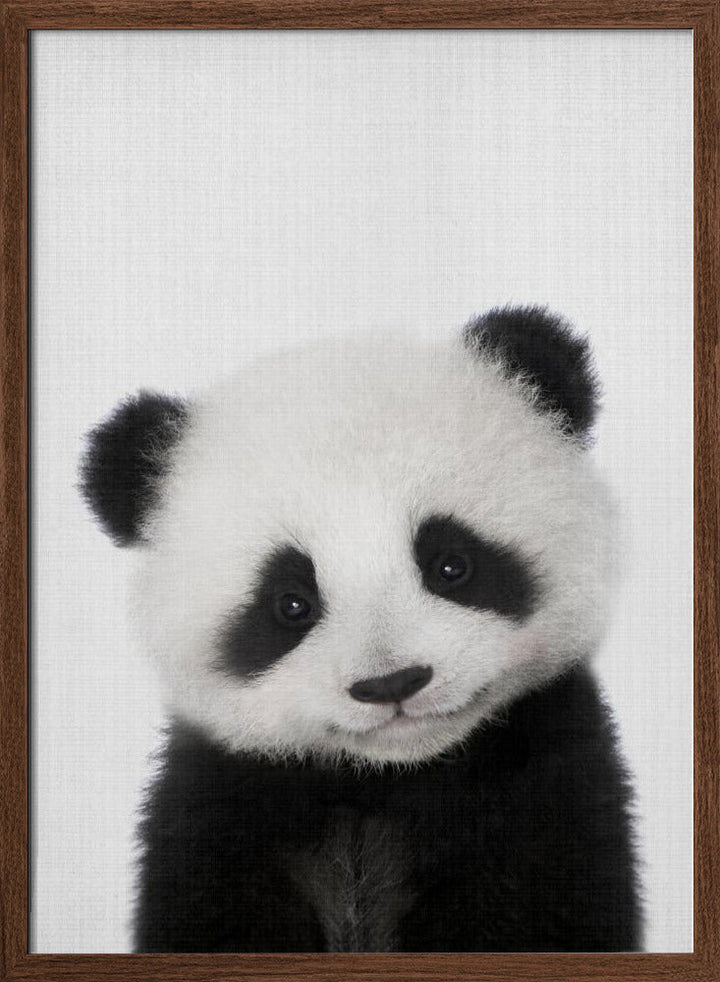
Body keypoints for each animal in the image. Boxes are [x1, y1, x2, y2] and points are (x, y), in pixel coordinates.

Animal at [80, 306, 641, 953]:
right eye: (290, 603)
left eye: (452, 565)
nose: (392, 683)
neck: (384, 780)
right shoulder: (221, 806)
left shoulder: (543, 785)